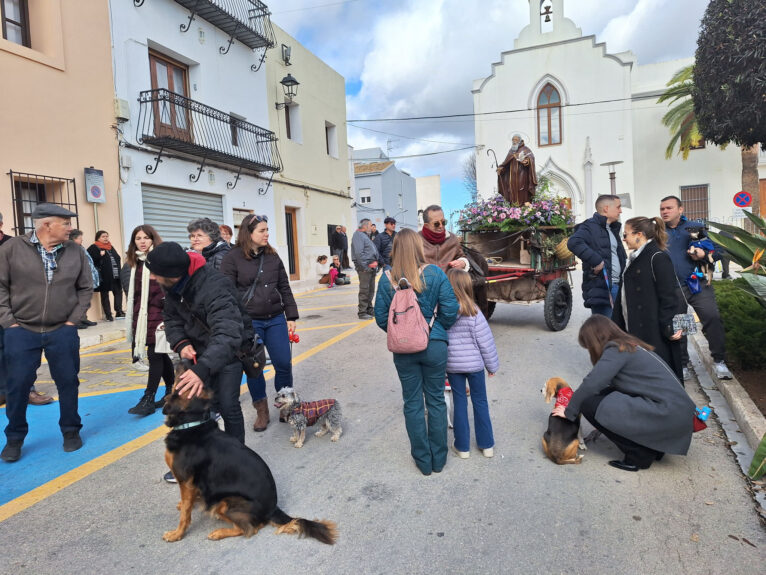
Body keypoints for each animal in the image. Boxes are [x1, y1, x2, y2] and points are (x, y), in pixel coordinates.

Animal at [164, 366, 338, 544]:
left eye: (182, 381)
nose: (183, 362)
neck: (192, 423)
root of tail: (273, 509)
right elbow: (188, 501)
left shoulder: (185, 481)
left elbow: (185, 514)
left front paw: (177, 534)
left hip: (226, 503)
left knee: (249, 528)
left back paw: (218, 532)